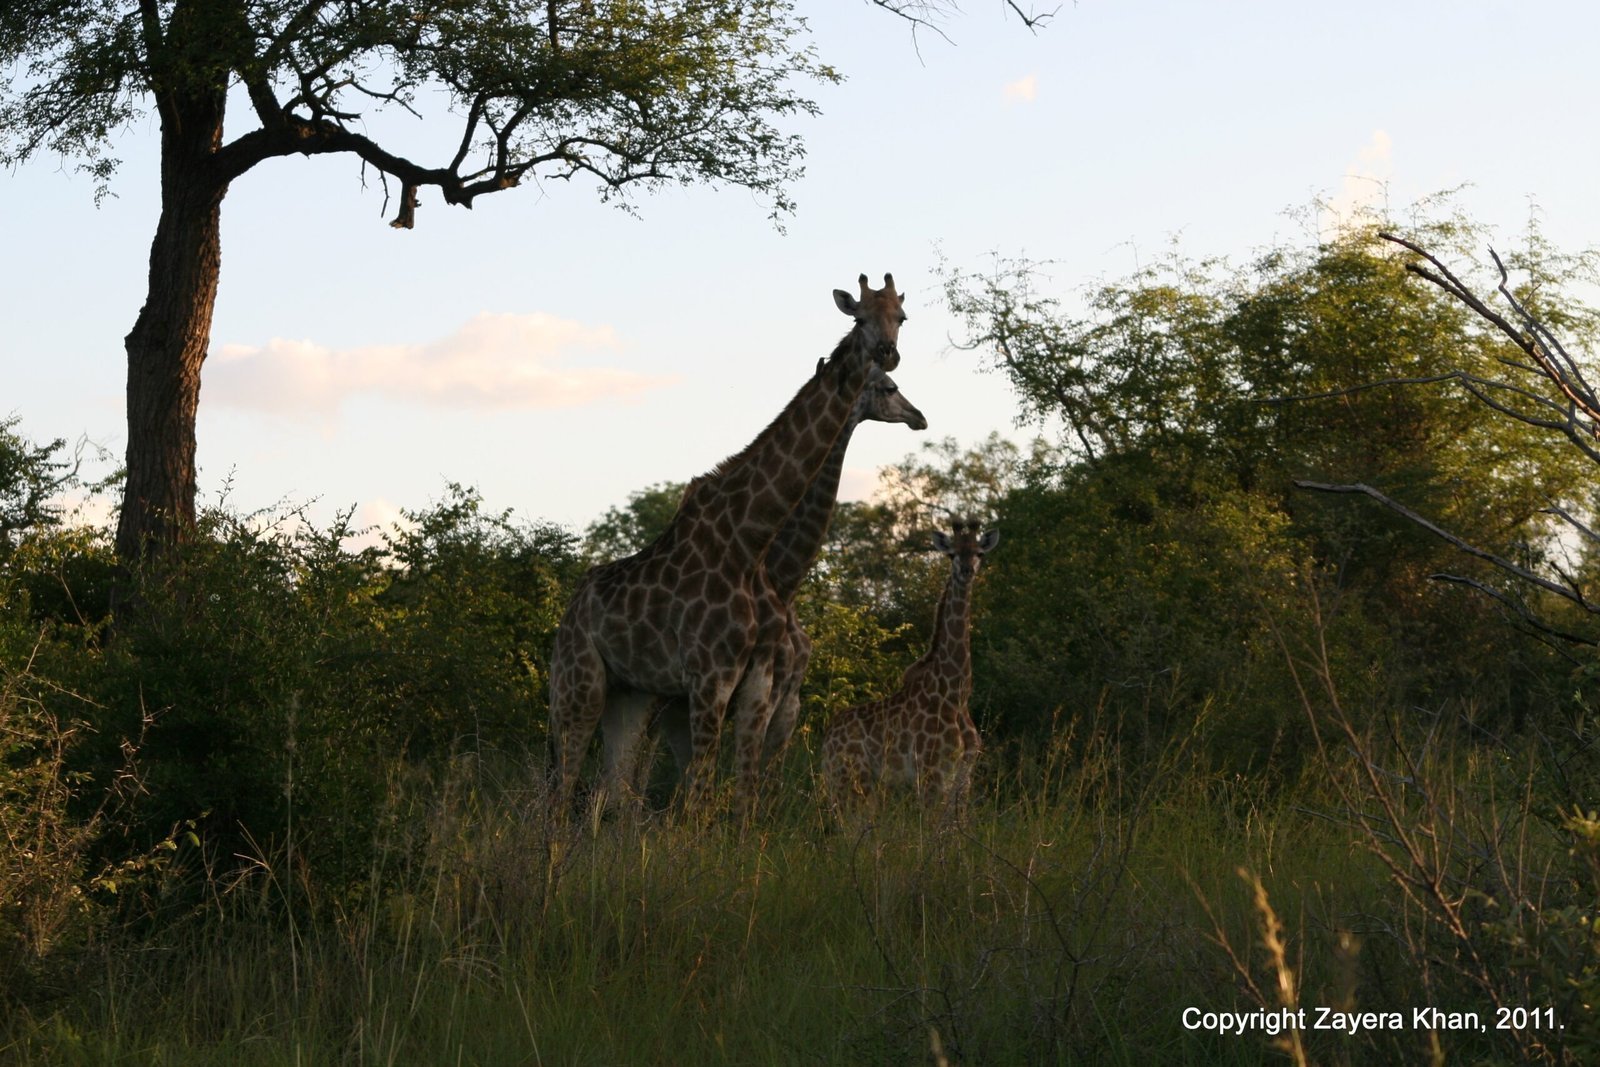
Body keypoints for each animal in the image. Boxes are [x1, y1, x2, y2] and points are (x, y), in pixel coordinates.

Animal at [821, 517, 999, 812]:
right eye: (952, 554)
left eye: (979, 553)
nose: (966, 570)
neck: (956, 695)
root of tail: (826, 739)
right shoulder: (931, 772)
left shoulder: (963, 777)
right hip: (851, 777)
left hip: (848, 780)